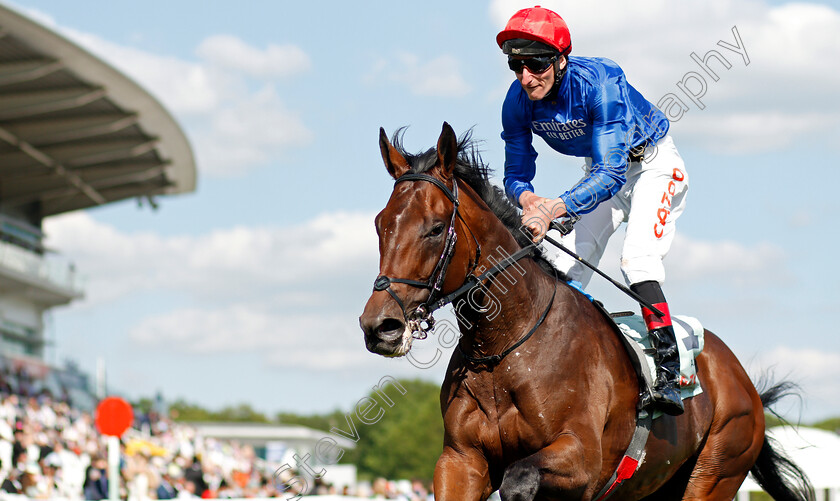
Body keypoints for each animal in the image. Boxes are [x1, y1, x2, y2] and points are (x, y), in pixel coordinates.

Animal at [360, 122, 812, 500]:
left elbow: (519, 478)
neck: (505, 346)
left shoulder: (582, 460)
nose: (379, 326)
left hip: (715, 472)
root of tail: (739, 376)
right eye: (381, 224)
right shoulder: (460, 460)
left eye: (436, 228)